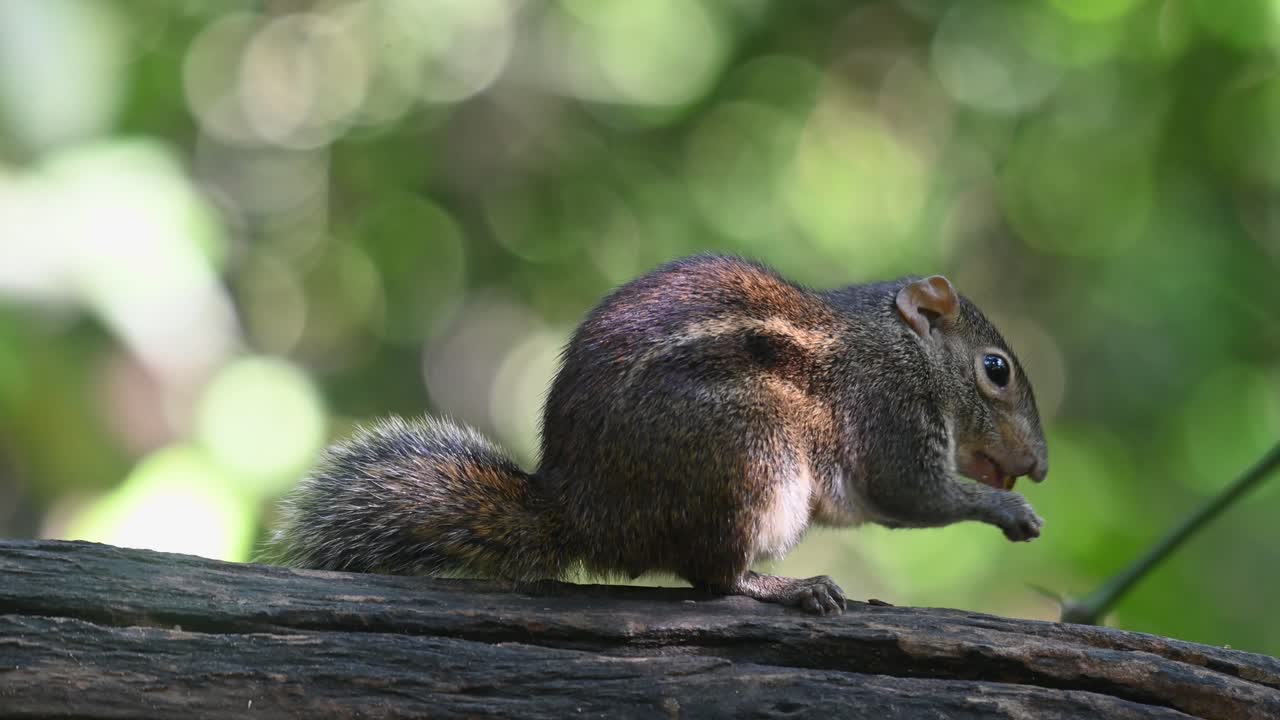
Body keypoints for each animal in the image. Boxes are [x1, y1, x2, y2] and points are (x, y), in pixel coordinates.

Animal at [262, 255, 1049, 615]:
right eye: (997, 369)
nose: (1039, 466)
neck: (902, 348)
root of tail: (581, 512)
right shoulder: (892, 413)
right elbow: (913, 495)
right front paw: (1011, 509)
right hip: (750, 463)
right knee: (715, 578)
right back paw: (788, 587)